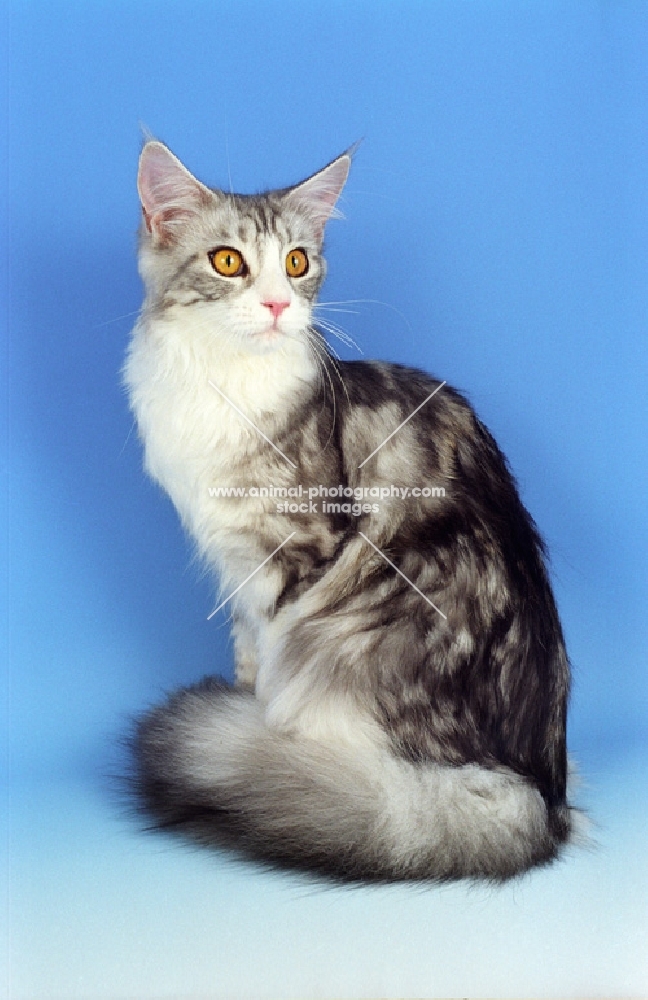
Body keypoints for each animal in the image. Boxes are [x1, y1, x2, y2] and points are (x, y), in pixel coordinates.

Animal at [123, 139, 576, 884]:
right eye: (229, 261)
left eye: (297, 262)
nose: (278, 304)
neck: (223, 386)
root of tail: (541, 799)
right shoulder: (237, 571)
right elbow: (247, 657)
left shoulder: (292, 554)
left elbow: (265, 665)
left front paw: (256, 739)